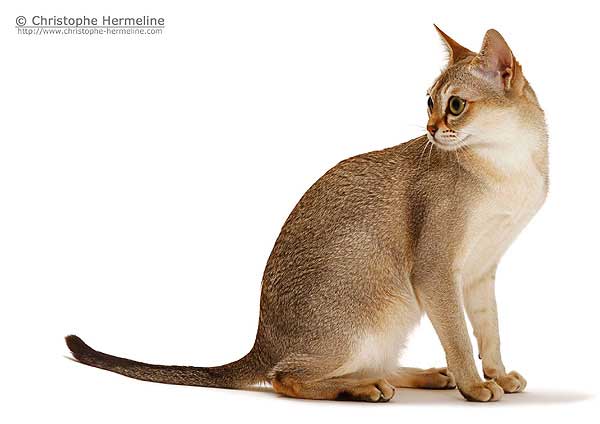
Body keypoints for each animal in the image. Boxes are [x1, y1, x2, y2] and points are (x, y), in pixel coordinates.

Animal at [66, 26, 548, 403]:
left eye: (455, 105)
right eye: (429, 102)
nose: (431, 130)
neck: (510, 167)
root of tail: (261, 342)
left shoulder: (481, 270)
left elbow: (488, 329)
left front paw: (497, 373)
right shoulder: (436, 270)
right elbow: (459, 338)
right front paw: (475, 385)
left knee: (365, 364)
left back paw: (420, 376)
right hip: (372, 306)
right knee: (286, 377)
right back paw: (364, 389)